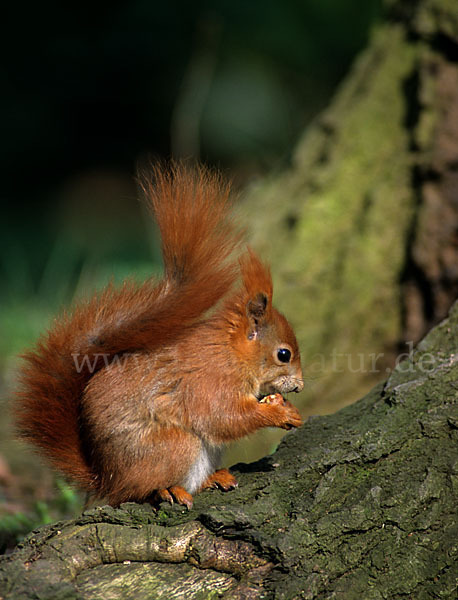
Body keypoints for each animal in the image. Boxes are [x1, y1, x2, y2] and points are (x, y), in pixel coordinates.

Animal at [14, 162, 304, 508]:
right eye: (283, 354)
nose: (300, 385)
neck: (231, 354)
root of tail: (106, 478)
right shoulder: (208, 383)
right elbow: (224, 417)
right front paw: (277, 412)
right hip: (174, 446)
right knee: (141, 489)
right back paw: (167, 490)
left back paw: (213, 478)